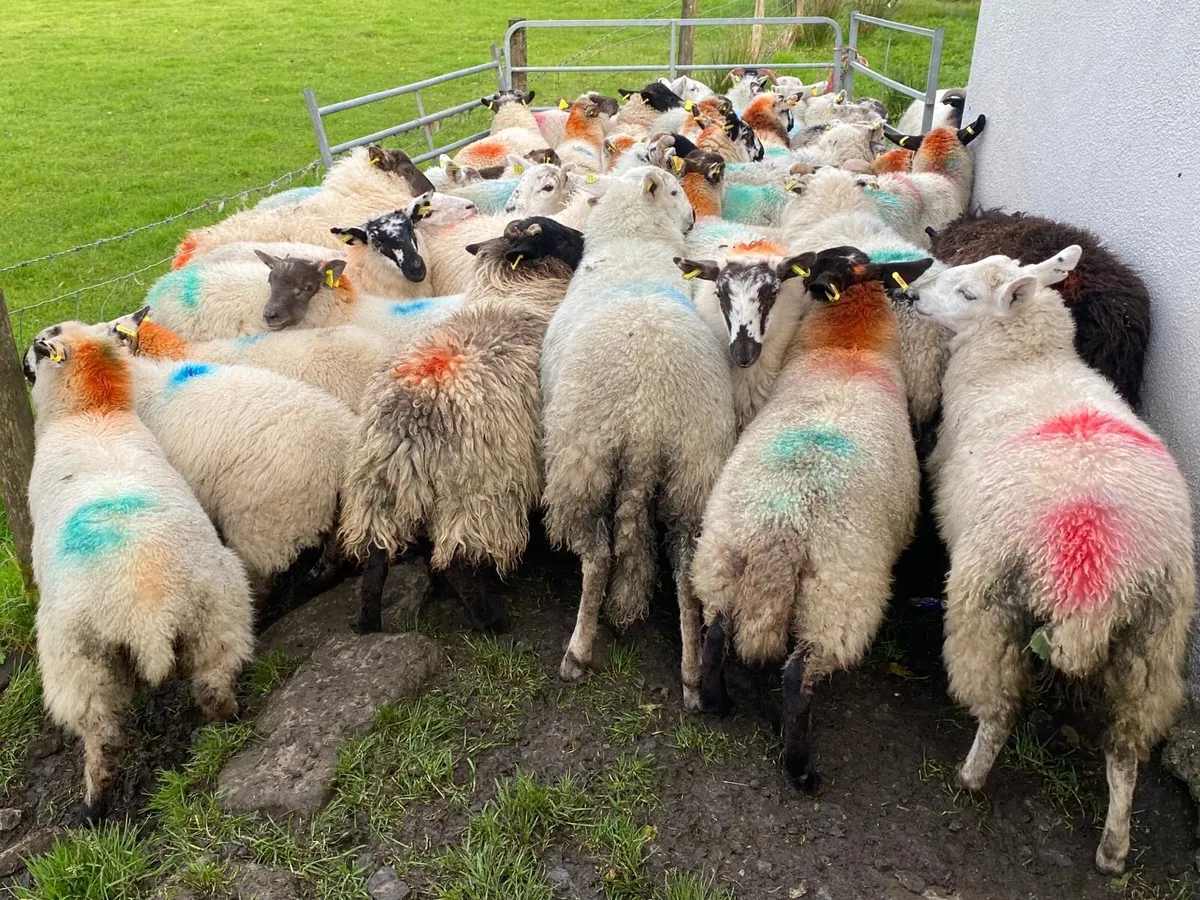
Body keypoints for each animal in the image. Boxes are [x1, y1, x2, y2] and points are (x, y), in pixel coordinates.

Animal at [25, 325, 253, 819]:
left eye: (39, 344)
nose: (22, 365)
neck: (93, 411)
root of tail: (147, 611)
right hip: (217, 610)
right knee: (213, 680)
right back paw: (229, 719)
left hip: (78, 662)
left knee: (102, 737)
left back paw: (94, 806)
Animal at [339, 217, 586, 634]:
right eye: (564, 238)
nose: (586, 238)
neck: (516, 292)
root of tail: (409, 421)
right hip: (480, 488)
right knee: (456, 560)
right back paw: (492, 622)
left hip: (375, 483)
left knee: (376, 554)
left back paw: (368, 621)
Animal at [540, 166, 736, 700]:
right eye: (674, 191)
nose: (693, 218)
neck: (634, 243)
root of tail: (647, 420)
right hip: (694, 470)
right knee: (685, 572)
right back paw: (691, 675)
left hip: (581, 464)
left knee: (598, 559)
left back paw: (577, 651)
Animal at [692, 250, 931, 788]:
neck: (850, 348)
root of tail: (779, 536)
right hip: (835, 603)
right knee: (797, 677)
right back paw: (801, 769)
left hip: (719, 558)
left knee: (715, 633)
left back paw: (717, 703)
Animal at [913, 249, 1194, 876]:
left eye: (967, 293)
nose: (913, 294)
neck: (1023, 363)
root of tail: (1096, 578)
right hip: (1152, 645)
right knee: (1124, 751)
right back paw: (1113, 848)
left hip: (987, 603)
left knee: (998, 709)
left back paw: (970, 775)